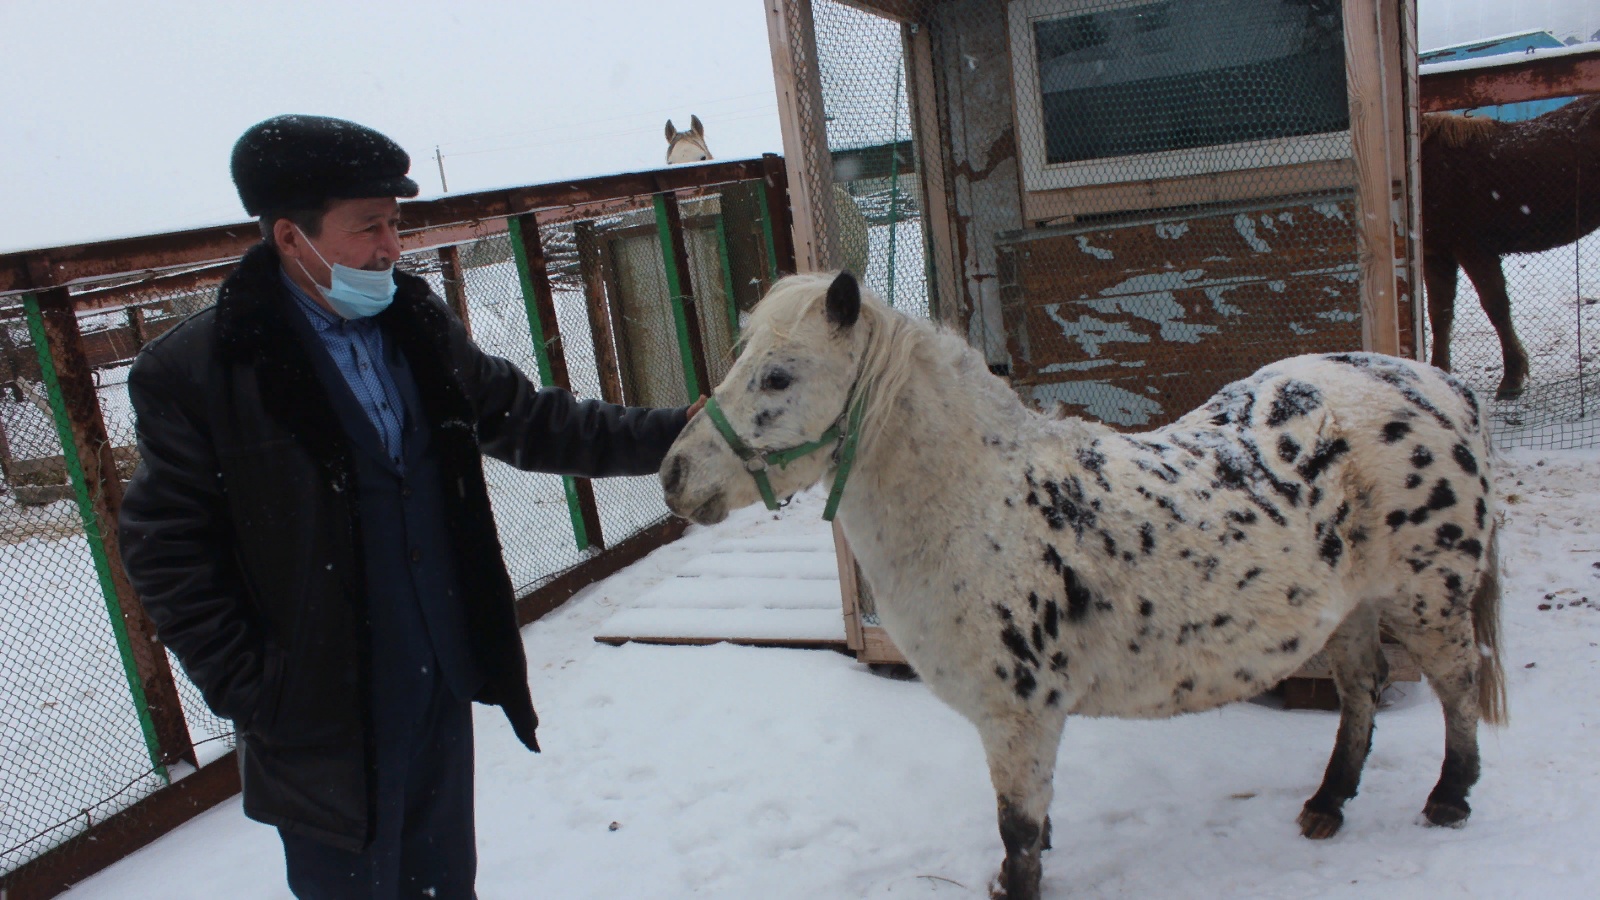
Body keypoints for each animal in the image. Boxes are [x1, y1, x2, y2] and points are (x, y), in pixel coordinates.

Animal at [656, 272, 1504, 896]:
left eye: (777, 376)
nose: (673, 474)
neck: (981, 504)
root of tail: (1438, 386)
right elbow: (1027, 832)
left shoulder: (1019, 718)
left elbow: (1020, 835)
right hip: (1354, 608)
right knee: (1361, 689)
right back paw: (1327, 804)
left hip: (1428, 598)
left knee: (1457, 681)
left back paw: (1451, 796)